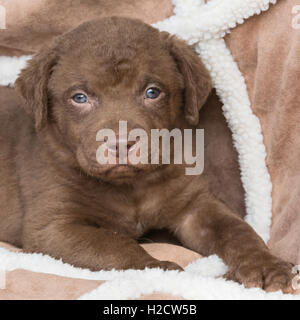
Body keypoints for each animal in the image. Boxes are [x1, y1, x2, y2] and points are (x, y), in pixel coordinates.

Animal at [0, 17, 296, 292]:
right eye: (80, 98)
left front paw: (264, 264)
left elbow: (236, 230)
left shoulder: (195, 206)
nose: (121, 143)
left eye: (152, 92)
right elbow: (112, 244)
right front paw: (158, 269)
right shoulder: (54, 227)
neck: (131, 187)